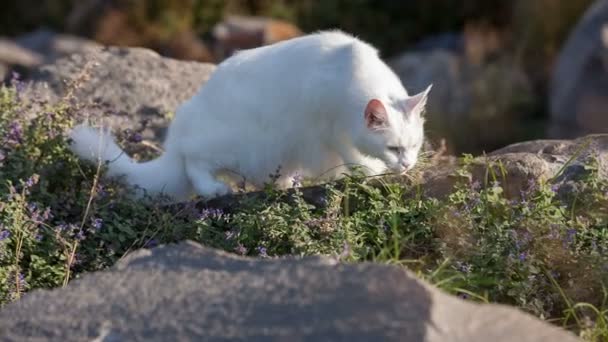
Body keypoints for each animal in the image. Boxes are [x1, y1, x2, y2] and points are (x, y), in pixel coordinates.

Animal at [70, 30, 432, 202]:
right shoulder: (329, 127)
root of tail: (177, 135)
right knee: (193, 164)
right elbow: (352, 155)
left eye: (414, 146)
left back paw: (283, 183)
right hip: (233, 144)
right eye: (394, 149)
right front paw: (367, 171)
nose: (407, 165)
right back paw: (214, 189)